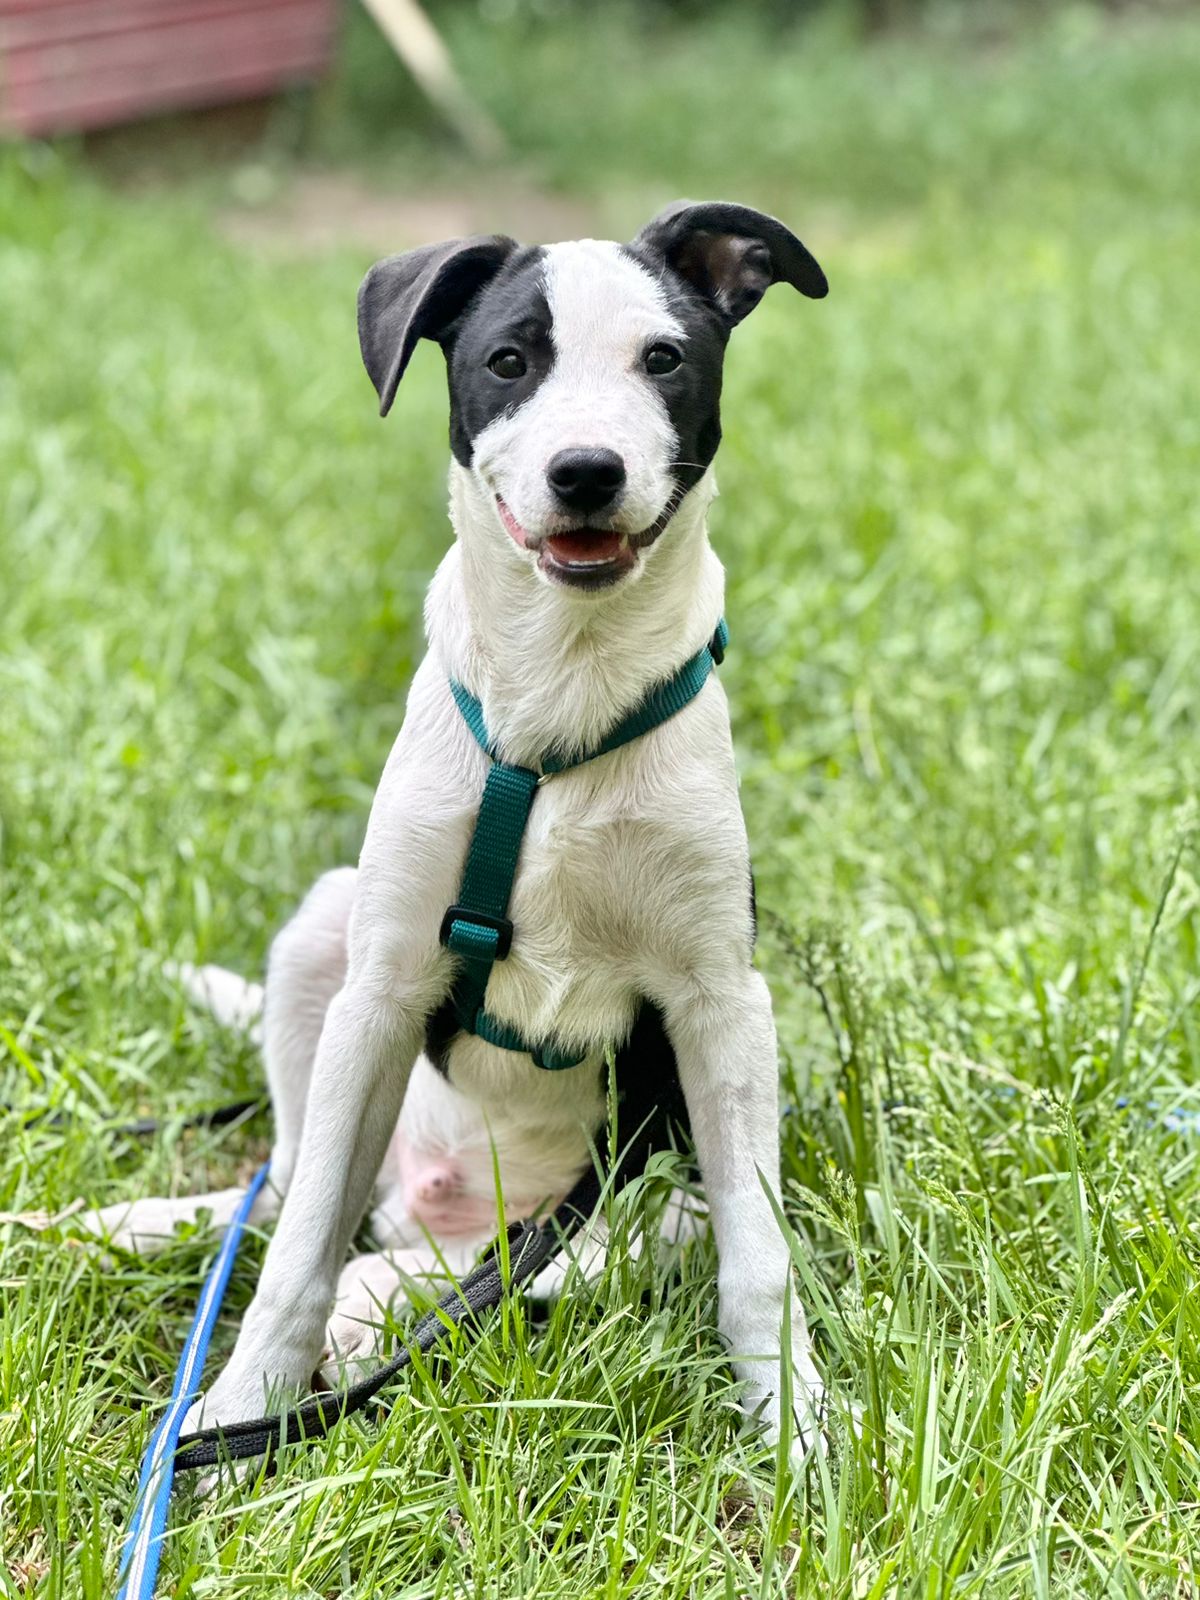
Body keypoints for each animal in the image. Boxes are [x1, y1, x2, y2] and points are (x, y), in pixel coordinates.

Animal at [80, 200, 832, 1452]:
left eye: (663, 359)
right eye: (509, 361)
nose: (588, 473)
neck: (561, 704)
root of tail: (433, 1203)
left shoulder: (721, 1006)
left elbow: (759, 1257)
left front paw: (797, 1425)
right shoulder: (381, 990)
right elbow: (292, 1255)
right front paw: (236, 1418)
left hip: (634, 1198)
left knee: (519, 1268)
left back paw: (380, 1308)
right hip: (323, 939)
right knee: (293, 1193)